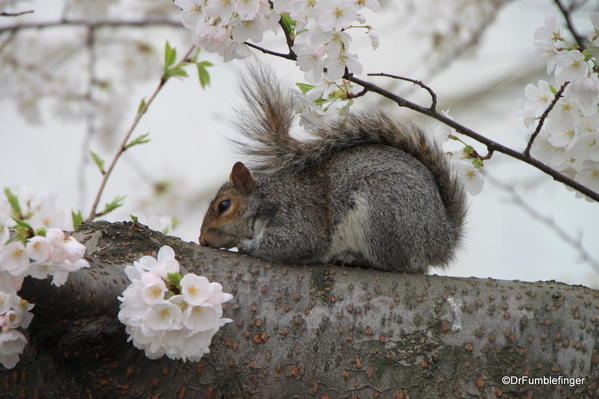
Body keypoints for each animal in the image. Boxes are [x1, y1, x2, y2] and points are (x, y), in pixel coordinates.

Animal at [199, 68, 466, 276]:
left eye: (224, 205)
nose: (203, 240)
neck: (266, 198)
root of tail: (443, 239)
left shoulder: (299, 213)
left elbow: (296, 243)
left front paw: (244, 245)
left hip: (385, 212)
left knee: (406, 265)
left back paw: (356, 259)